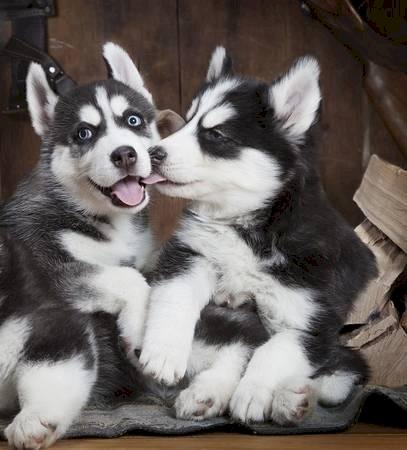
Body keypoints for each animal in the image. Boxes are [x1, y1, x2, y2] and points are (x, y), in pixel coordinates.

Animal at [141, 47, 380, 424]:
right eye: (188, 121)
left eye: (216, 134)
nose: (153, 153)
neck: (248, 228)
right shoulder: (189, 256)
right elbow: (174, 299)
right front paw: (164, 352)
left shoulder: (312, 322)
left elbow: (272, 350)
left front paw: (252, 393)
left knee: (336, 376)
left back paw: (288, 398)